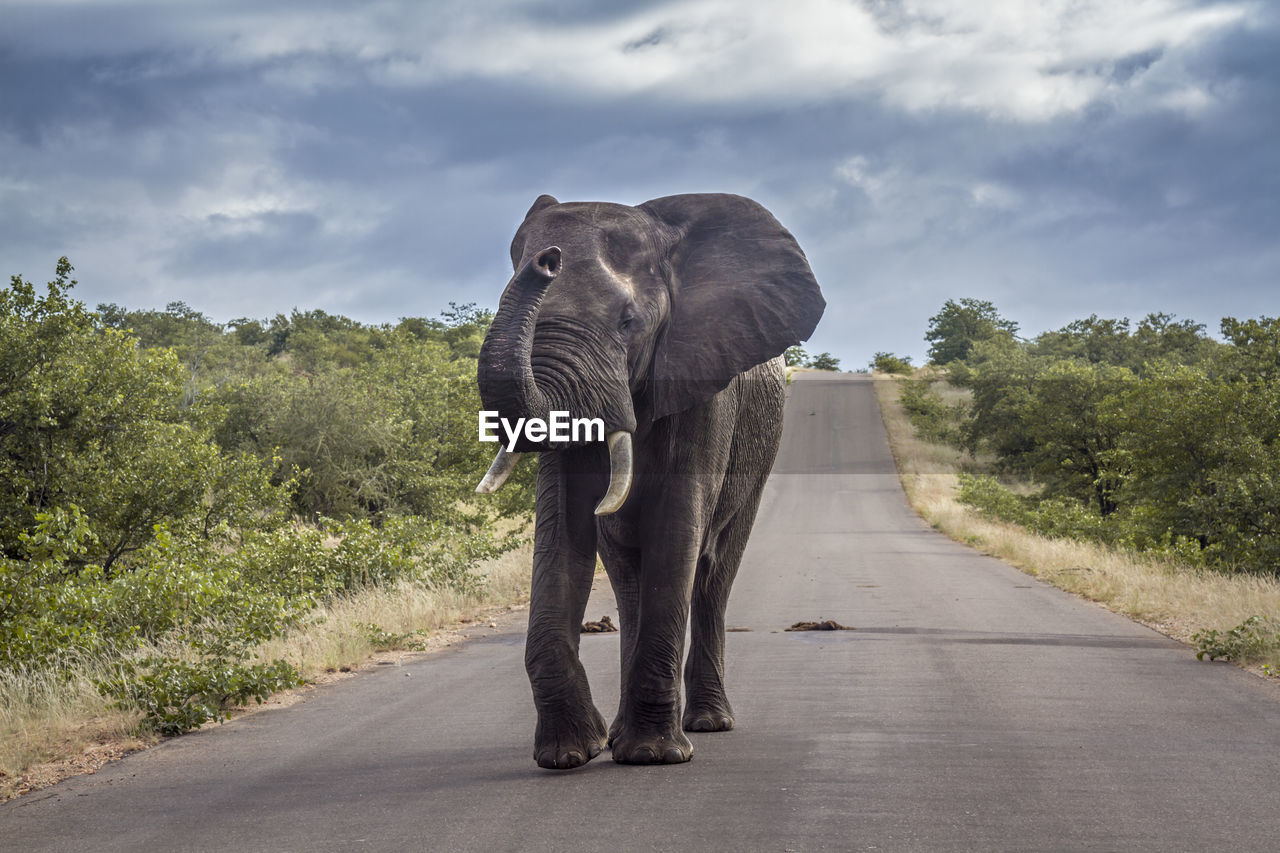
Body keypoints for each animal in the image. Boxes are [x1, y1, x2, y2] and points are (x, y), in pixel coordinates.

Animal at [476, 190, 824, 763]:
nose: (546, 259)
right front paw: (569, 755)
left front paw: (654, 756)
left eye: (628, 322)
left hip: (759, 454)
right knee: (627, 576)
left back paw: (707, 723)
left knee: (714, 572)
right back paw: (620, 734)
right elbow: (562, 530)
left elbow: (677, 523)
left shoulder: (703, 383)